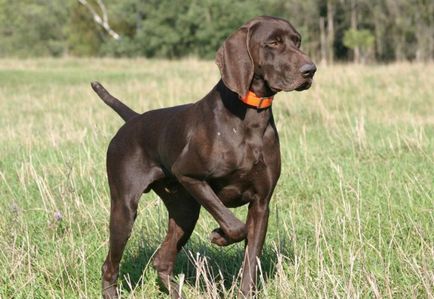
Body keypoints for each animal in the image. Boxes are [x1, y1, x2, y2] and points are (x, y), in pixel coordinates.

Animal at [92, 17, 316, 299]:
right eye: (273, 43)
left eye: (297, 41)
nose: (311, 70)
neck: (250, 117)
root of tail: (133, 119)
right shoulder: (189, 175)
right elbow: (236, 226)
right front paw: (219, 236)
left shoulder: (261, 204)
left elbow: (250, 261)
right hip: (125, 209)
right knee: (110, 265)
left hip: (185, 211)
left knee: (162, 261)